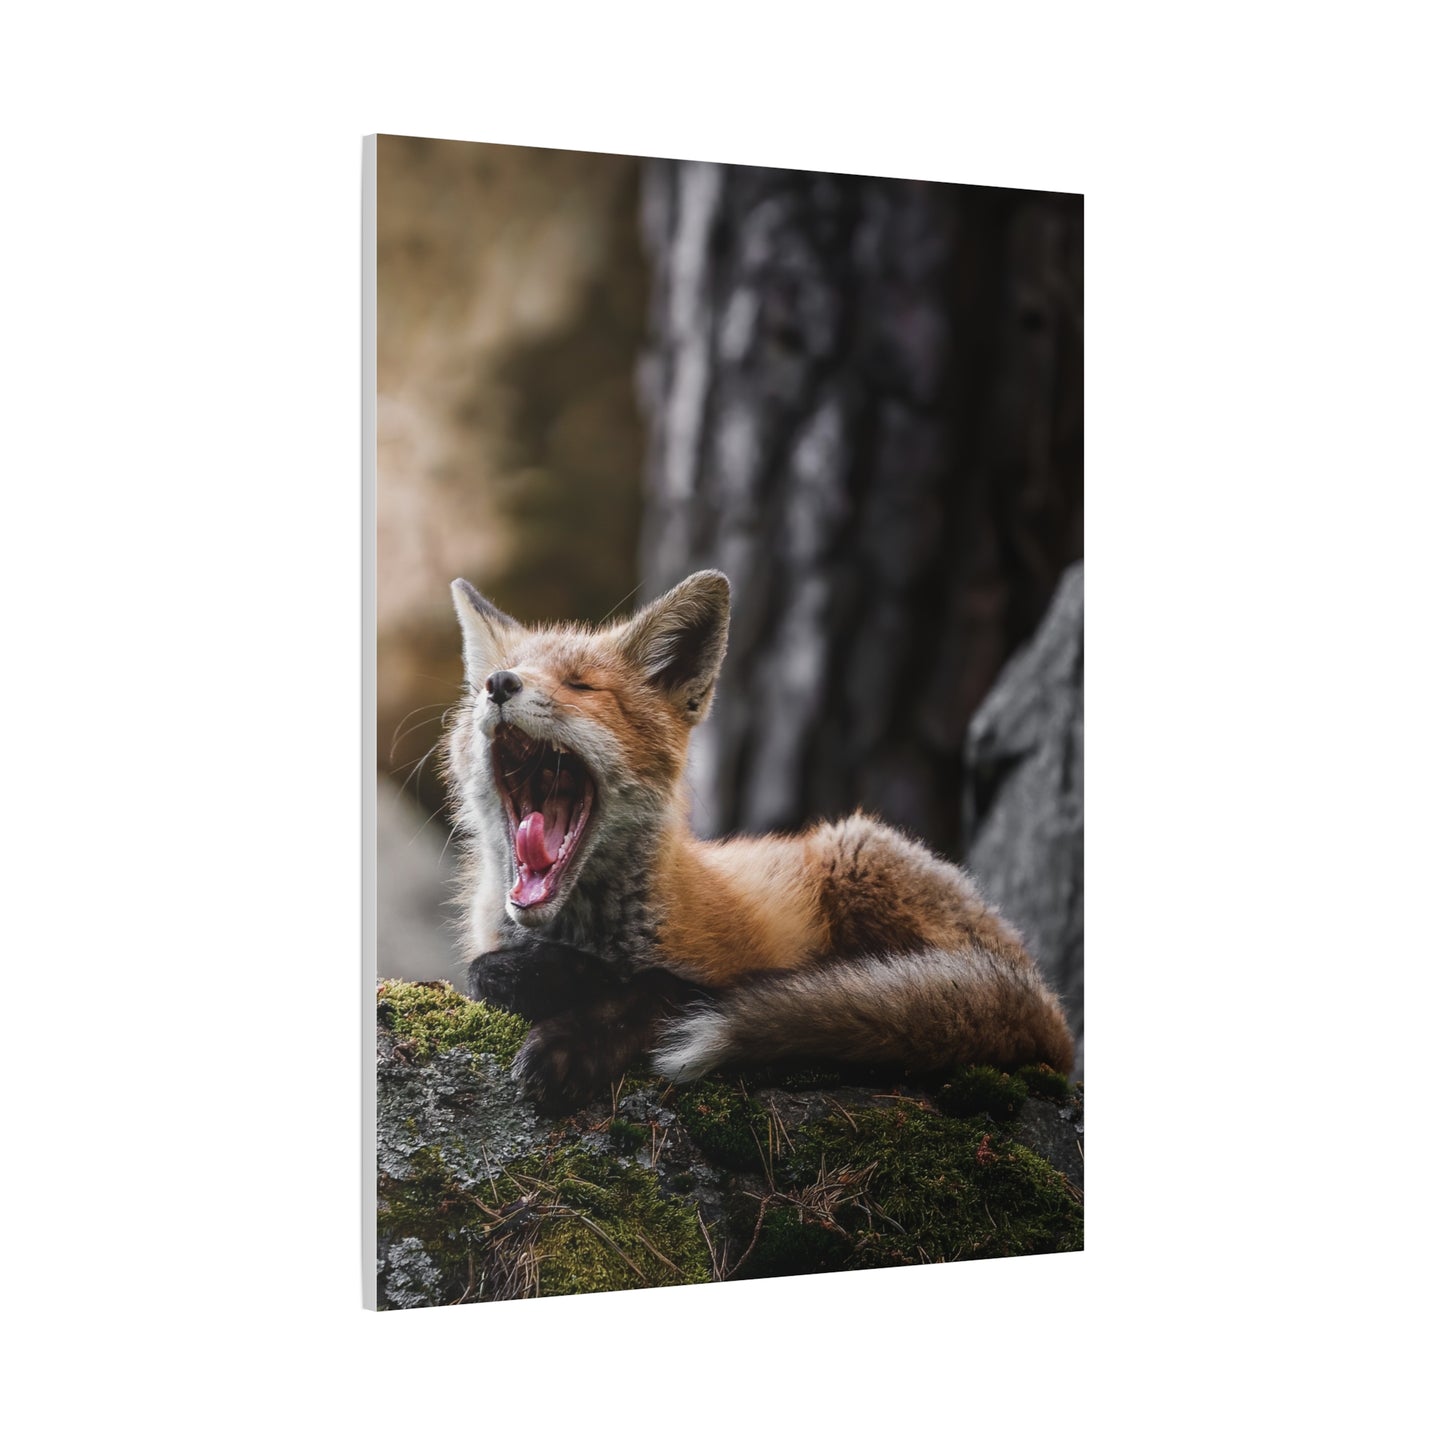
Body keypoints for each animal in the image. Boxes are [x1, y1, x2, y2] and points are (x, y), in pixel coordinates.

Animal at [445, 569, 1074, 1111]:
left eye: (580, 685)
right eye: (492, 680)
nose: (499, 685)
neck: (579, 932)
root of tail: (1046, 1000)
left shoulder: (718, 972)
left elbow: (657, 991)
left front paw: (573, 1039)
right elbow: (482, 972)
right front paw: (552, 980)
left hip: (856, 853)